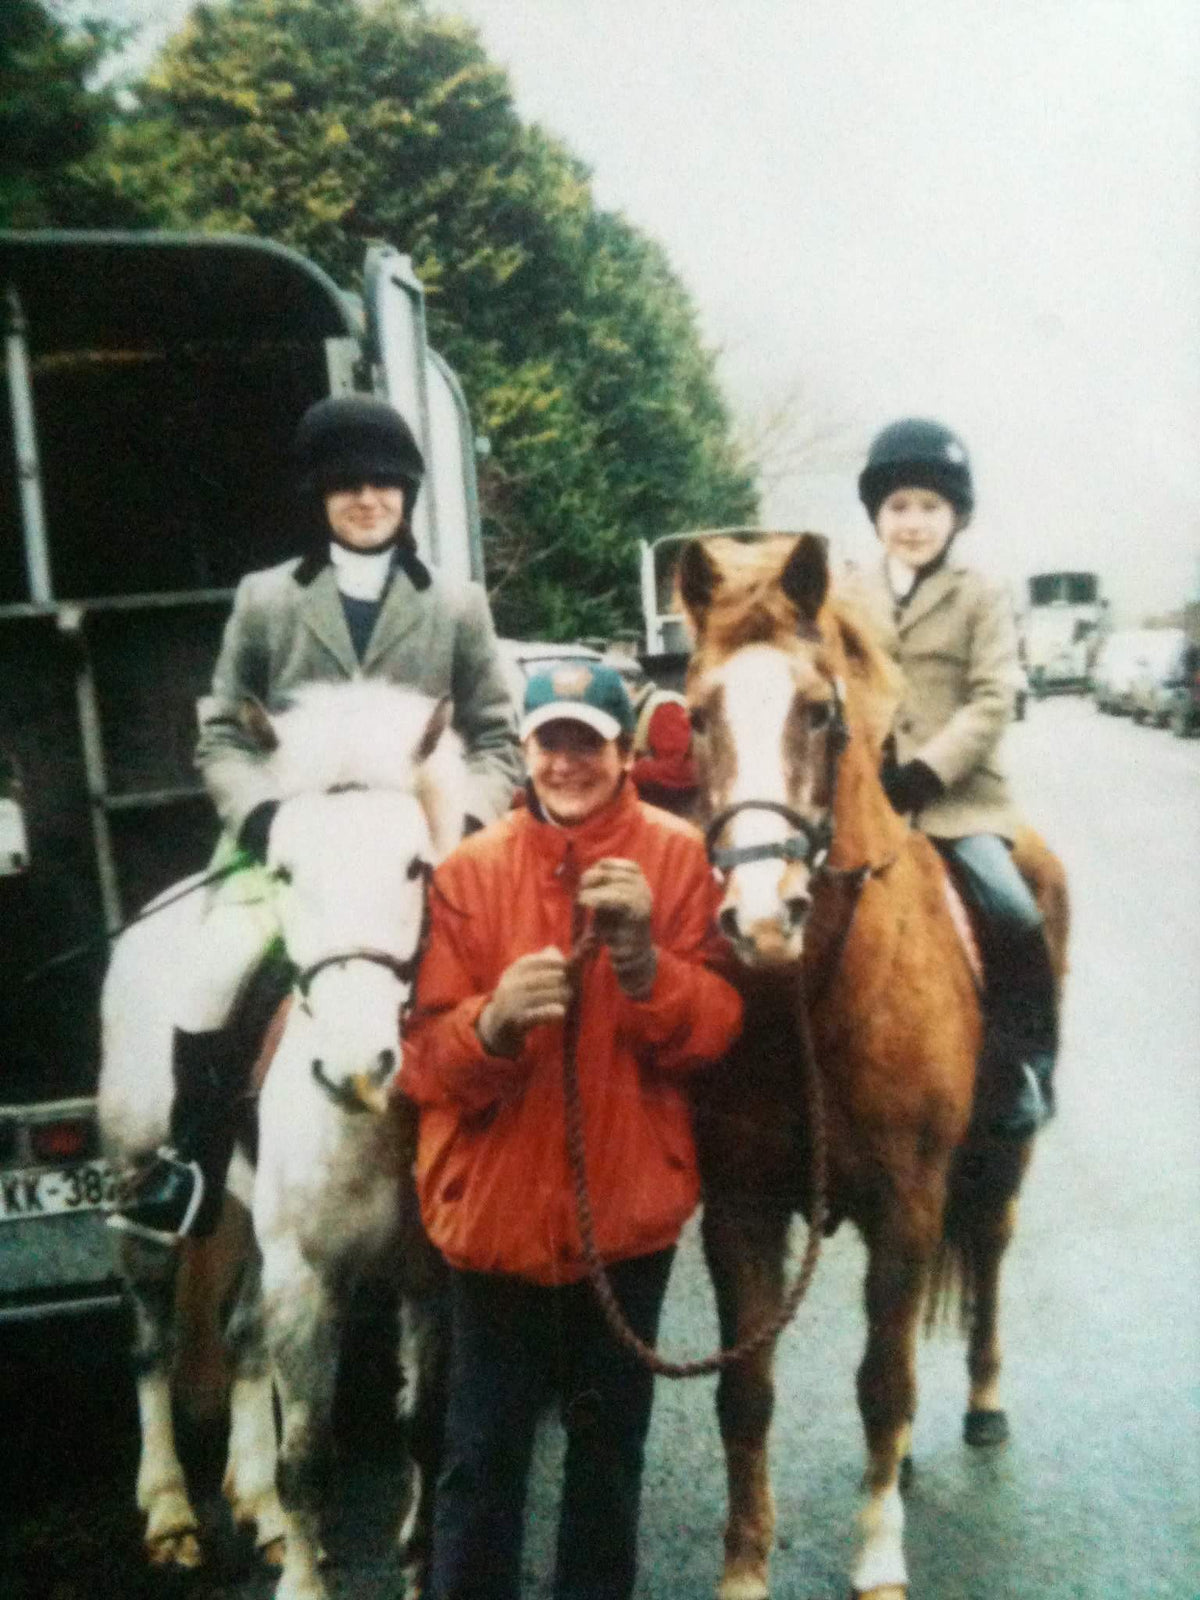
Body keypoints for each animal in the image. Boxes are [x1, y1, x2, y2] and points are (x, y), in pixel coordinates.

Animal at [97, 681, 465, 1600]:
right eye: (288, 871)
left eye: (415, 867)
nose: (357, 1067)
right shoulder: (309, 1279)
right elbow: (310, 1460)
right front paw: (302, 1579)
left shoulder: (429, 1282)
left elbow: (425, 1434)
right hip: (139, 1189)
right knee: (152, 1343)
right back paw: (169, 1509)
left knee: (239, 1341)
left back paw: (256, 1507)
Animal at [675, 533, 1068, 1600]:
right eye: (696, 714)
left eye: (820, 711)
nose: (760, 921)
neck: (814, 995)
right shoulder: (741, 1208)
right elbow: (746, 1392)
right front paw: (745, 1567)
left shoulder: (908, 1203)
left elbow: (882, 1383)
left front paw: (879, 1556)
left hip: (1003, 1163)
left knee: (991, 1255)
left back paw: (983, 1403)